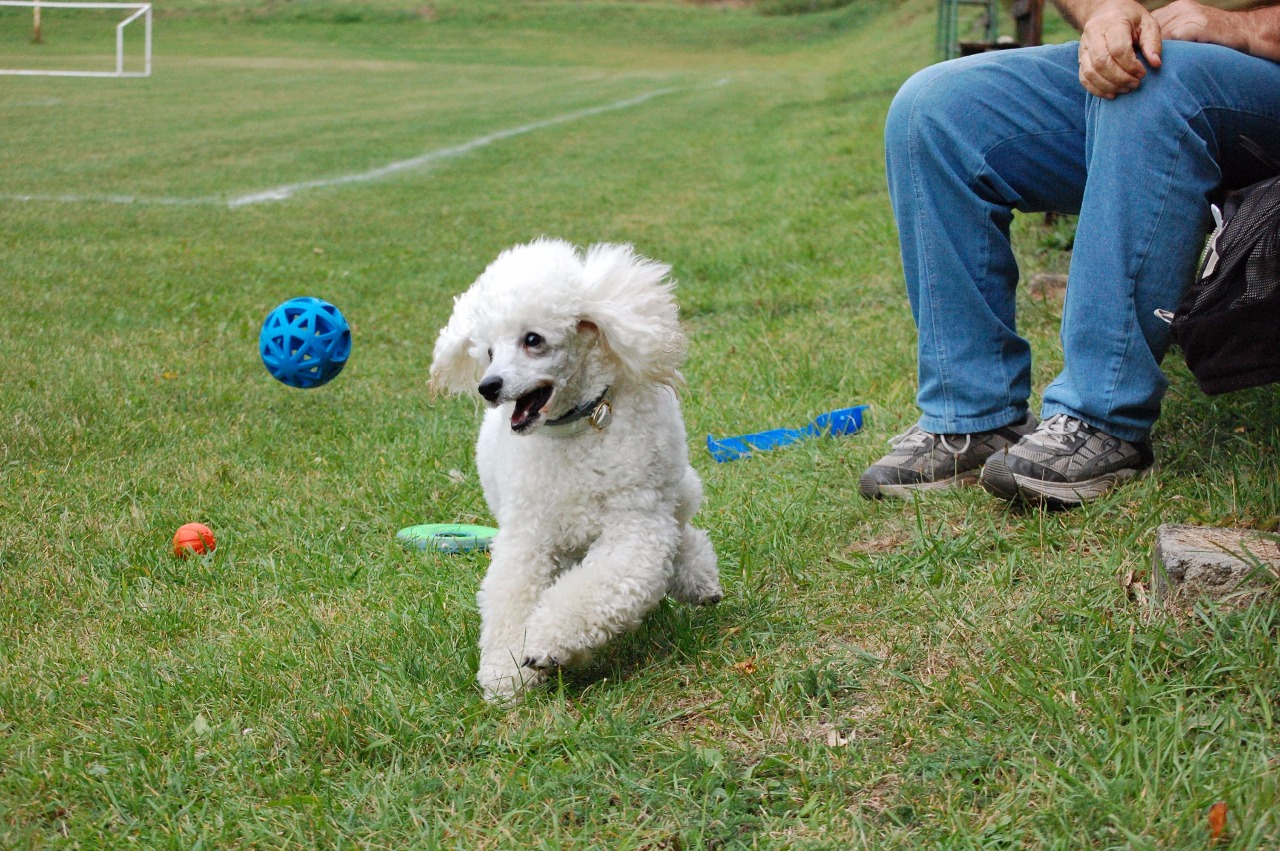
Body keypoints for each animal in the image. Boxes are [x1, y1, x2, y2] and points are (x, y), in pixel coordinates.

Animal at [430, 238, 722, 700]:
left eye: (533, 339)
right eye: (489, 351)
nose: (488, 387)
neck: (575, 431)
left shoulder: (636, 525)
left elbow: (601, 586)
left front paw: (545, 644)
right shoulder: (528, 534)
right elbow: (510, 596)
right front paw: (506, 673)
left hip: (674, 490)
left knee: (680, 531)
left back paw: (698, 578)